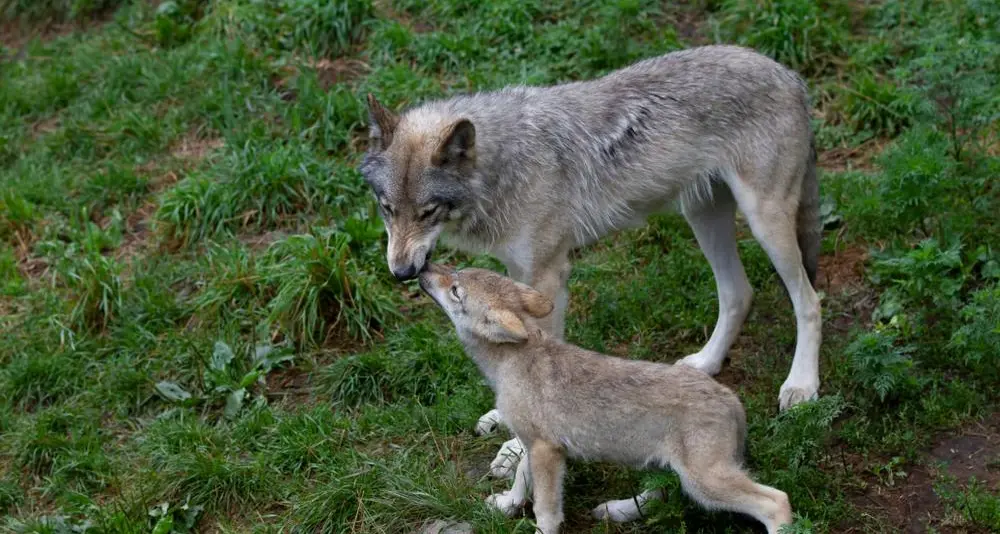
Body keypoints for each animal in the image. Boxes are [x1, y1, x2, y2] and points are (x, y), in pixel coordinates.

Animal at [418, 263, 794, 533]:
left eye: (455, 290)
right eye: (455, 271)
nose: (423, 268)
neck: (510, 362)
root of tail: (732, 399)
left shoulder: (546, 451)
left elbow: (545, 511)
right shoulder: (532, 443)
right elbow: (521, 482)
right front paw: (507, 506)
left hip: (704, 482)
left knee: (777, 501)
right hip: (668, 468)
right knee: (660, 495)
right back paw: (615, 510)